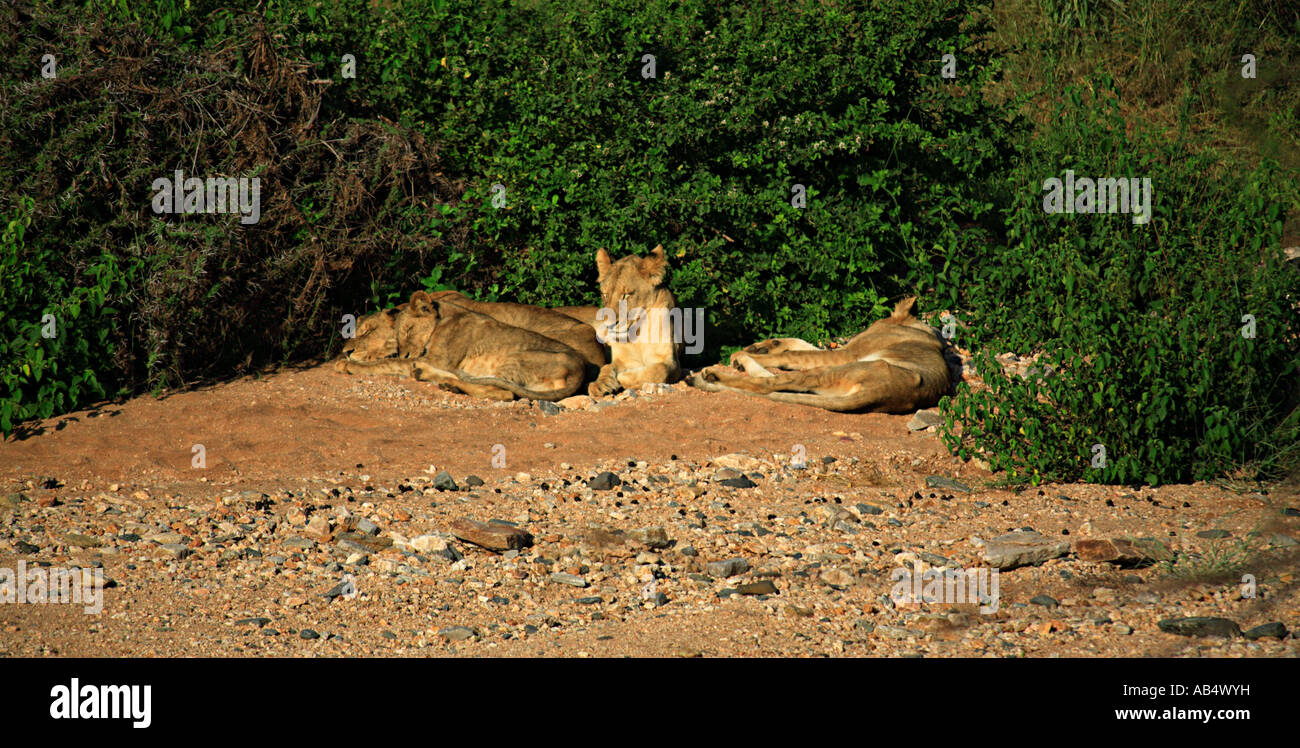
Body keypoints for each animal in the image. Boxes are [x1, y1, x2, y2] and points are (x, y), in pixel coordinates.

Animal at [335, 291, 585, 401]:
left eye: (408, 330)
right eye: (398, 335)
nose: (346, 352)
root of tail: (580, 371)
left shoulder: (437, 358)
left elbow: (388, 363)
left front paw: (349, 365)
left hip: (515, 359)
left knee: (503, 392)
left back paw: (440, 379)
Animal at [588, 245, 682, 396]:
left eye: (626, 295)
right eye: (605, 294)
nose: (608, 325)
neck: (637, 332)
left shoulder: (672, 362)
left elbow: (659, 370)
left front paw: (623, 377)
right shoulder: (621, 359)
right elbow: (607, 366)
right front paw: (600, 384)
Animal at [690, 297, 951, 413]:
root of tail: (884, 394)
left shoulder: (847, 354)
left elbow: (794, 355)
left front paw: (744, 352)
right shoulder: (844, 350)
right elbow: (801, 344)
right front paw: (764, 345)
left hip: (840, 368)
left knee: (767, 384)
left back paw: (718, 371)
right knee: (776, 381)